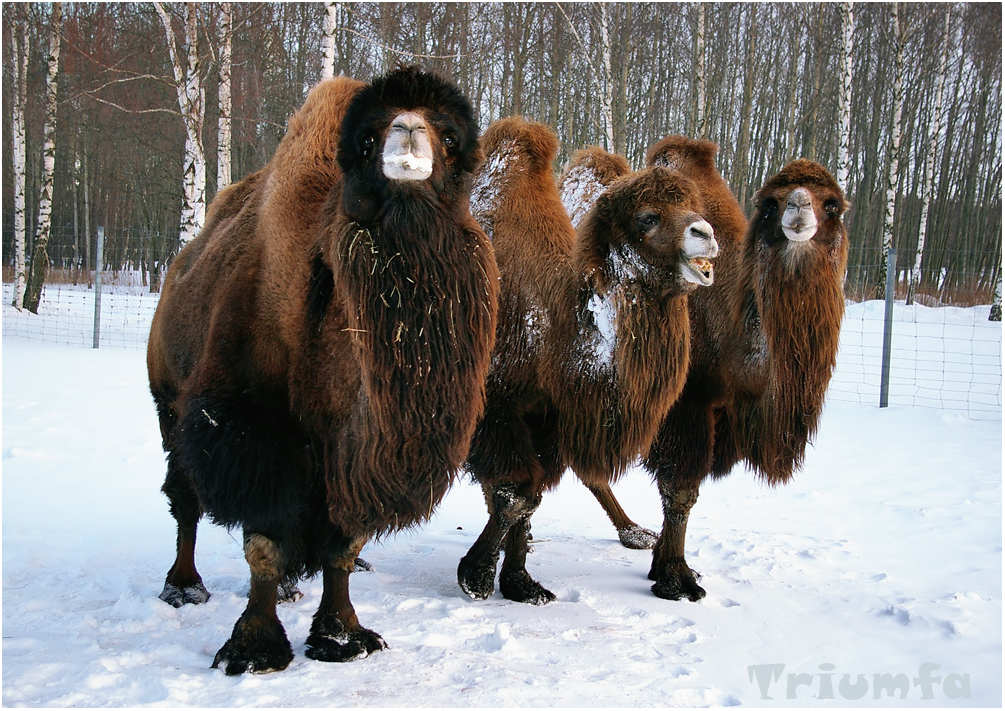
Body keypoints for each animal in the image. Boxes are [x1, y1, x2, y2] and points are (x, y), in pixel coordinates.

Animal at [146, 65, 498, 671]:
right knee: (184, 495)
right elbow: (263, 539)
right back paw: (183, 586)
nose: (409, 131)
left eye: (451, 138)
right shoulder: (253, 428)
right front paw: (254, 648)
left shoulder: (352, 453)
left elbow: (342, 546)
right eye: (368, 138)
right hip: (168, 402)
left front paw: (343, 636)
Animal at [460, 118, 719, 607]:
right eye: (647, 217)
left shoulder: (550, 416)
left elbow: (530, 496)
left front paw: (520, 584)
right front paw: (476, 576)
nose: (705, 233)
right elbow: (515, 492)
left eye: (692, 204)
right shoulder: (495, 406)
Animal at [639, 137, 852, 599]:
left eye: (832, 205)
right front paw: (674, 577)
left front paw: (665, 564)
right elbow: (680, 490)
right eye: (770, 204)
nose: (798, 207)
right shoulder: (686, 406)